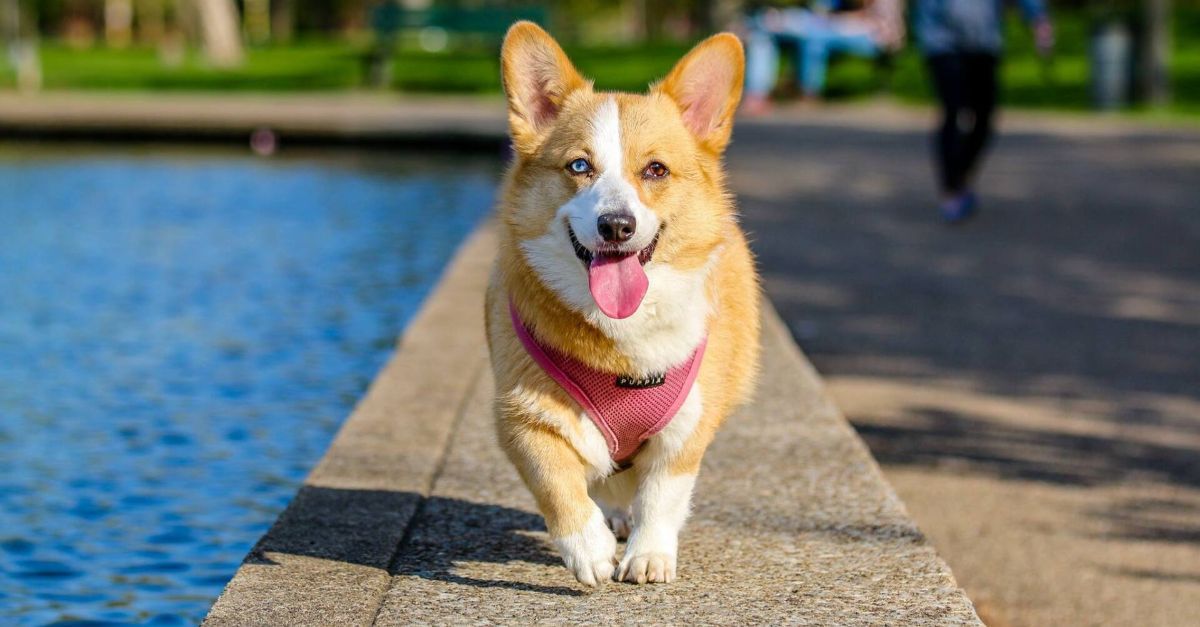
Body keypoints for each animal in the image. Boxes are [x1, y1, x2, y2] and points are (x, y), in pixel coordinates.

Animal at [484, 20, 758, 586]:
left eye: (655, 170)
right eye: (579, 165)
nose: (616, 226)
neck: (621, 338)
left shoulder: (686, 427)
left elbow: (661, 495)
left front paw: (649, 555)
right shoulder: (522, 417)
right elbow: (557, 483)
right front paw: (587, 549)